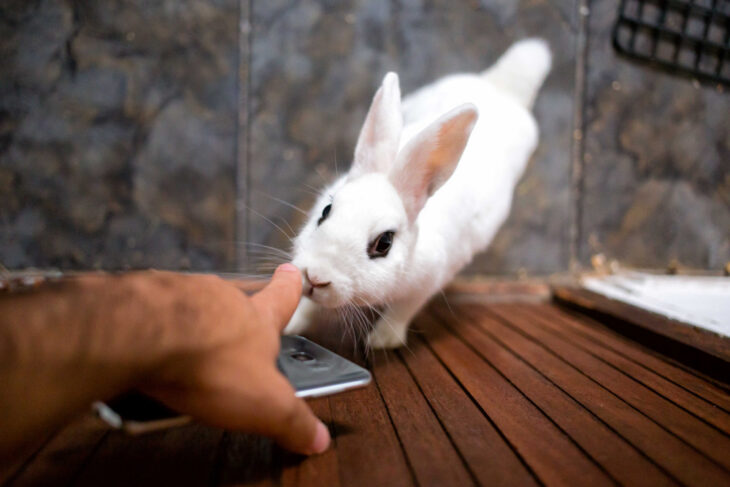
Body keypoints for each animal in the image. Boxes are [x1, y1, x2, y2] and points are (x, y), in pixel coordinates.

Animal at [283, 38, 552, 348]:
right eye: (325, 212)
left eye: (384, 243)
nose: (316, 276)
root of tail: (501, 87)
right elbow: (308, 305)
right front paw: (291, 325)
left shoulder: (427, 283)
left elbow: (402, 311)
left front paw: (382, 341)